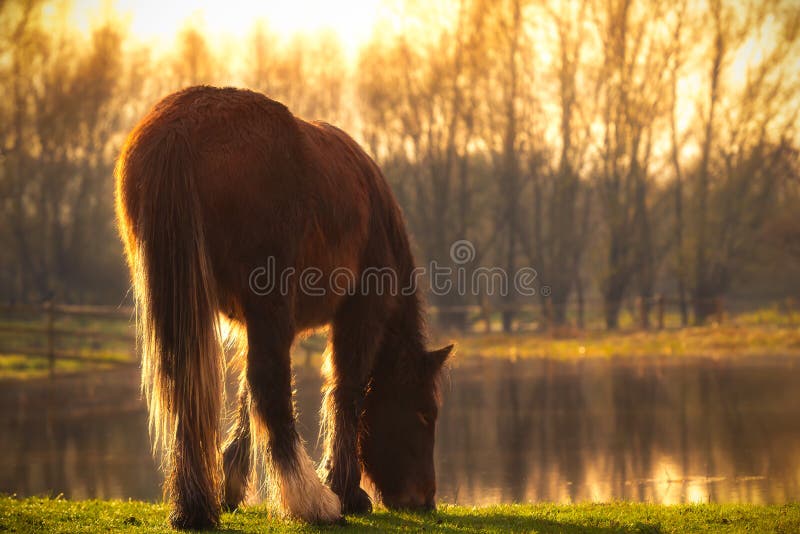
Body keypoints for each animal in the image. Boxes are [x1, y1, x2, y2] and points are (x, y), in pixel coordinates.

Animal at [114, 86, 450, 528]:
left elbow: (244, 397)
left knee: (189, 387)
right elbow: (346, 390)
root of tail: (178, 131)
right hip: (266, 305)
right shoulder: (359, 315)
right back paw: (311, 501)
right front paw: (346, 490)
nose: (424, 500)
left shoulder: (249, 322)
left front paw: (231, 482)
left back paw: (194, 507)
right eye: (425, 414)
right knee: (269, 386)